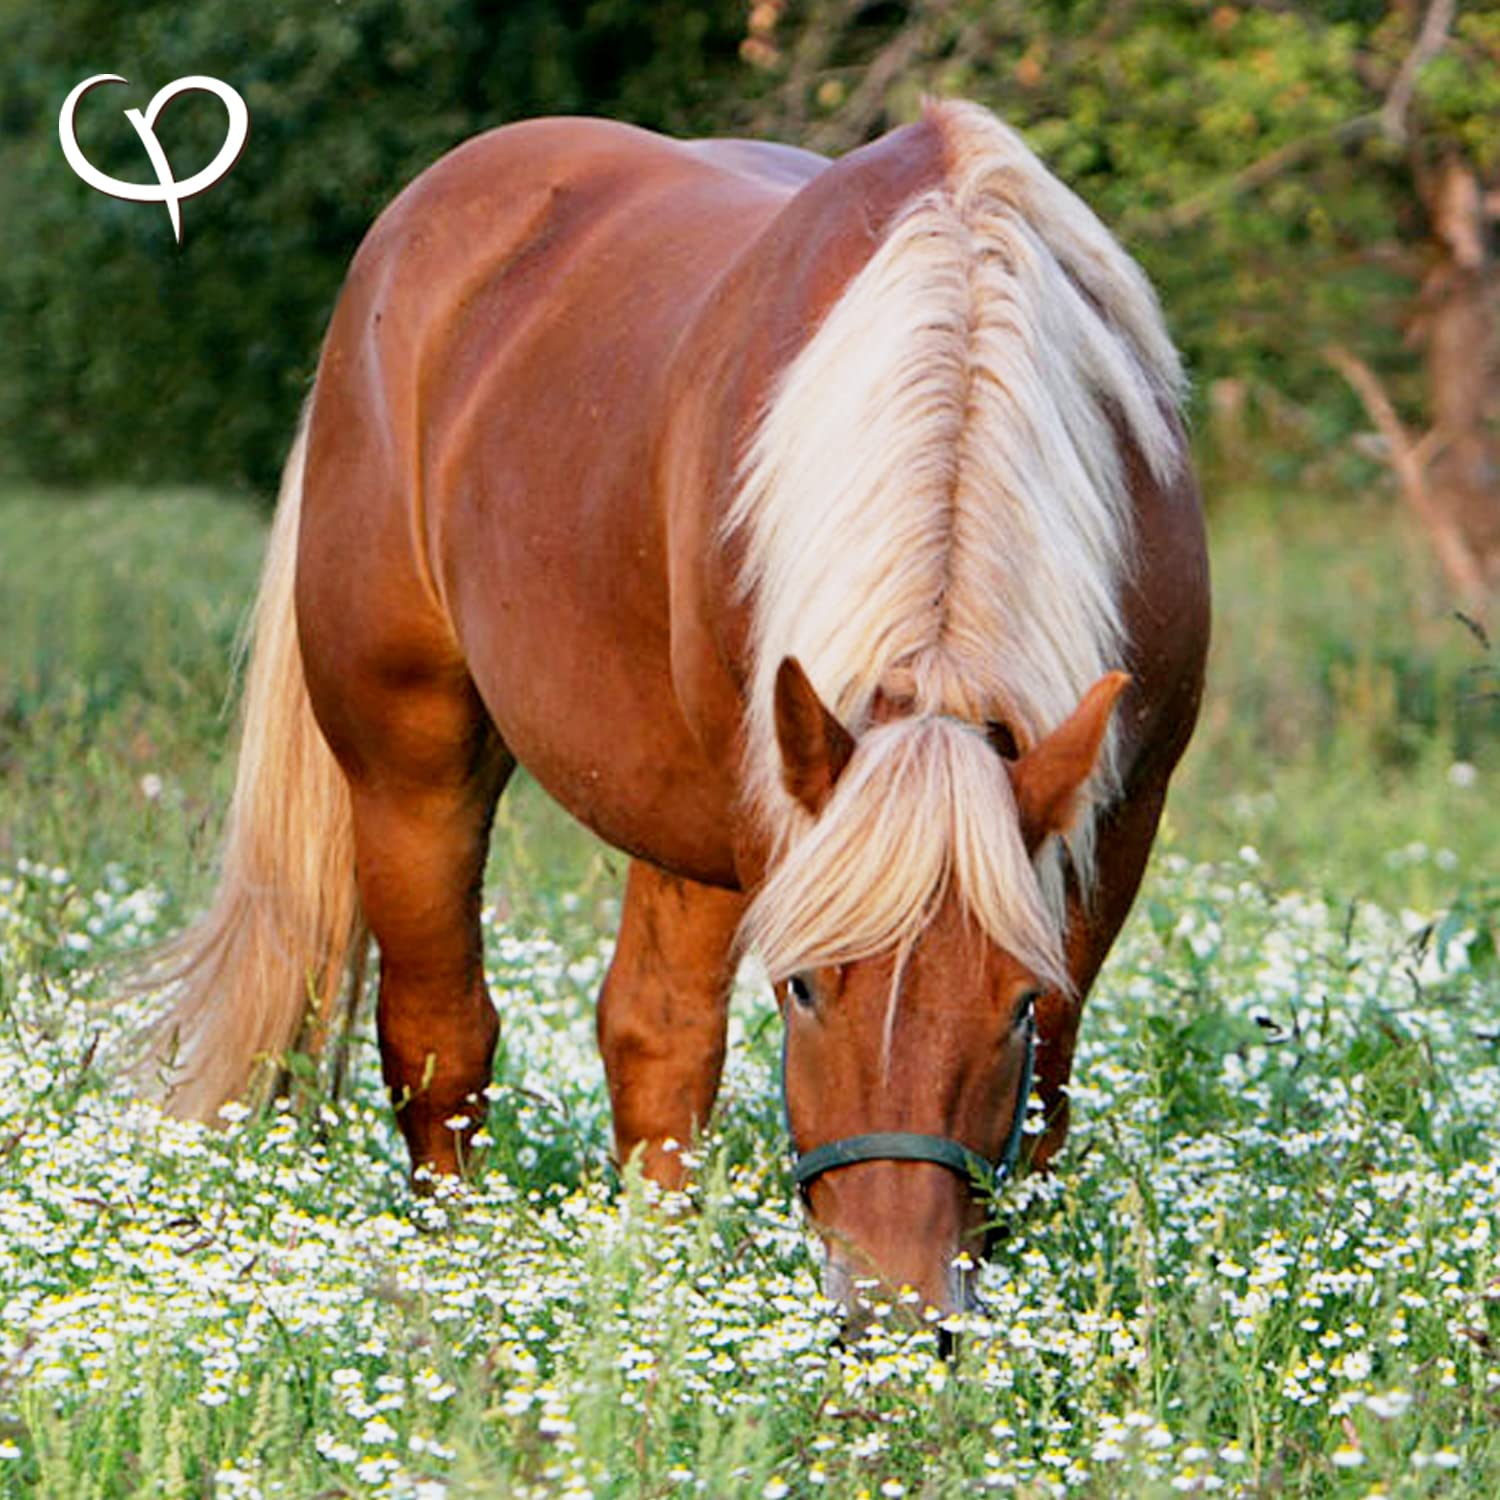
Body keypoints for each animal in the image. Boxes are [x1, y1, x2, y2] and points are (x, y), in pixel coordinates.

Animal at [143, 99, 1209, 1332]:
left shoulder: (1116, 824)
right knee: (444, 1039)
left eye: (1018, 1001)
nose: (891, 1313)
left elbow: (1044, 1102)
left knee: (648, 1043)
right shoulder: (772, 807)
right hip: (412, 765)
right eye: (804, 986)